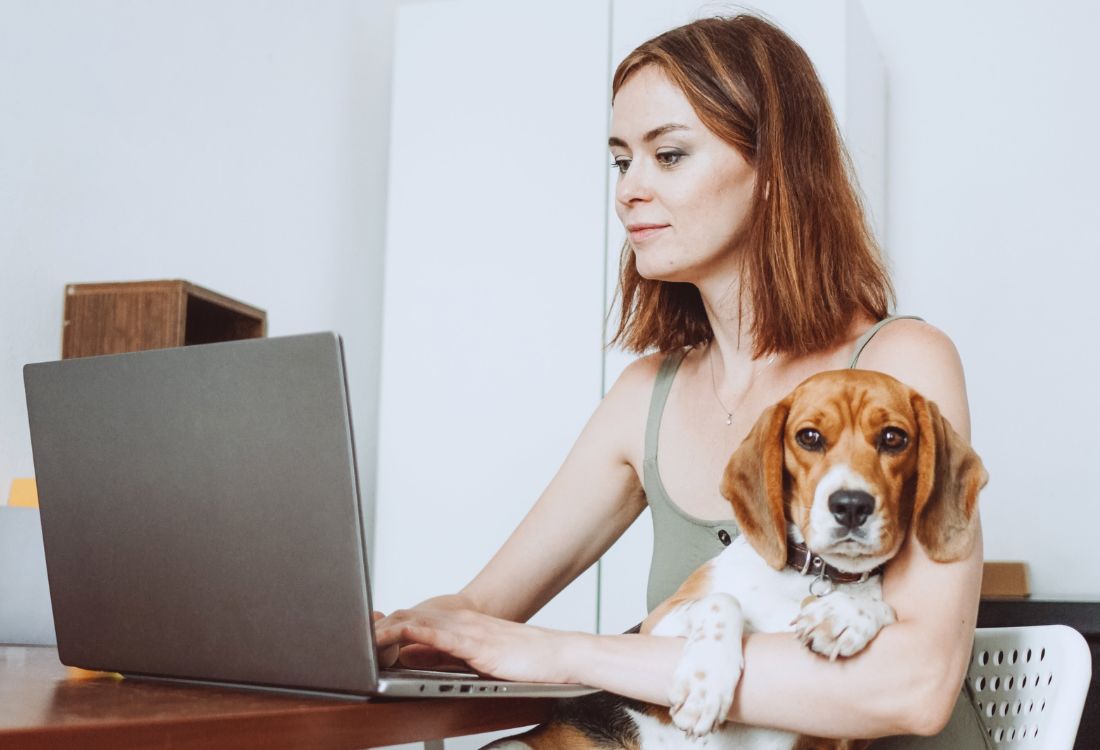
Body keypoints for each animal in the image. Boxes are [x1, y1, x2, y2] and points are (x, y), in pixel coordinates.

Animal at [486, 367, 985, 747]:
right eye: (809, 437)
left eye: (893, 438)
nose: (850, 505)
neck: (810, 574)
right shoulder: (656, 626)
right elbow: (722, 601)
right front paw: (705, 684)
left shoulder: (840, 737)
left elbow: (878, 604)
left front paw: (844, 615)